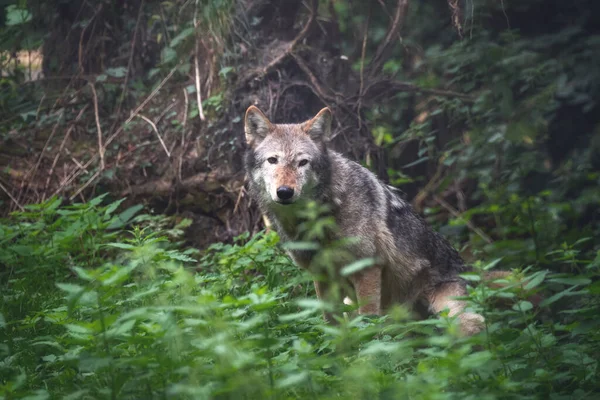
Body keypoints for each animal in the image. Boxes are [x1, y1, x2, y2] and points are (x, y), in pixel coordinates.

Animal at [244, 105, 488, 334]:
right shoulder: (322, 276)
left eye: (303, 162)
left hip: (456, 317)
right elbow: (331, 325)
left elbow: (368, 324)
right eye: (273, 160)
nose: (285, 192)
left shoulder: (367, 268)